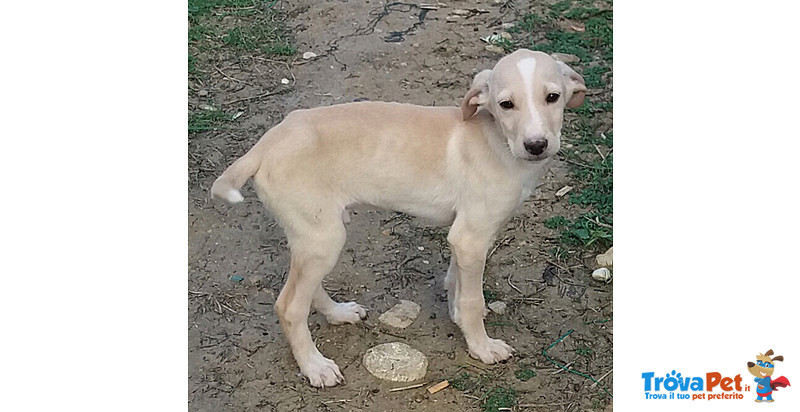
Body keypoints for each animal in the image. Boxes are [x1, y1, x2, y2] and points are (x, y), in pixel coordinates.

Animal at [212, 50, 588, 388]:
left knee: (305, 287)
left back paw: (337, 313)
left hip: (315, 234)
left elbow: (455, 281)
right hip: (323, 238)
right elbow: (472, 298)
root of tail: (266, 143)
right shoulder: (472, 237)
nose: (537, 145)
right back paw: (315, 367)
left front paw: (457, 315)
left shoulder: (463, 236)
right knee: (289, 307)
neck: (496, 141)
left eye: (552, 97)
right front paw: (481, 346)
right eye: (506, 104)